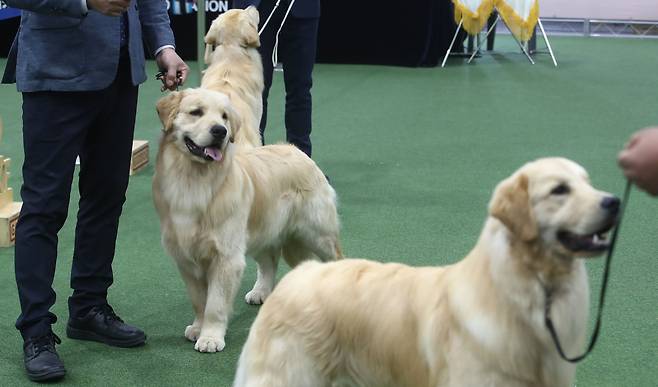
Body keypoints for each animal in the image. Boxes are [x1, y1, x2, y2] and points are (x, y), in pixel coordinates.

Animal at [152, 88, 340, 354]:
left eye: (224, 117)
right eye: (196, 112)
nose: (220, 131)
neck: (194, 180)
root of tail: (297, 150)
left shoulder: (226, 257)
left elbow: (215, 304)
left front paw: (210, 337)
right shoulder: (186, 258)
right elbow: (199, 300)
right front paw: (198, 328)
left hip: (317, 234)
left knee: (335, 258)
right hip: (260, 231)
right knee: (269, 262)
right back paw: (261, 292)